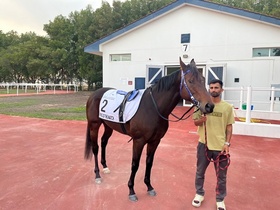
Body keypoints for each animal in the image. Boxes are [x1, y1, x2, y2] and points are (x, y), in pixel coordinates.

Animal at [84, 57, 213, 202]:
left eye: (203, 79)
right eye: (190, 81)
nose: (209, 106)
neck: (153, 107)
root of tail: (94, 94)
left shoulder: (155, 141)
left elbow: (149, 162)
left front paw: (149, 186)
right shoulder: (138, 141)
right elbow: (135, 165)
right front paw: (131, 190)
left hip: (108, 125)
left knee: (104, 142)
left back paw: (105, 167)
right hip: (94, 125)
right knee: (95, 148)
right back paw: (97, 175)